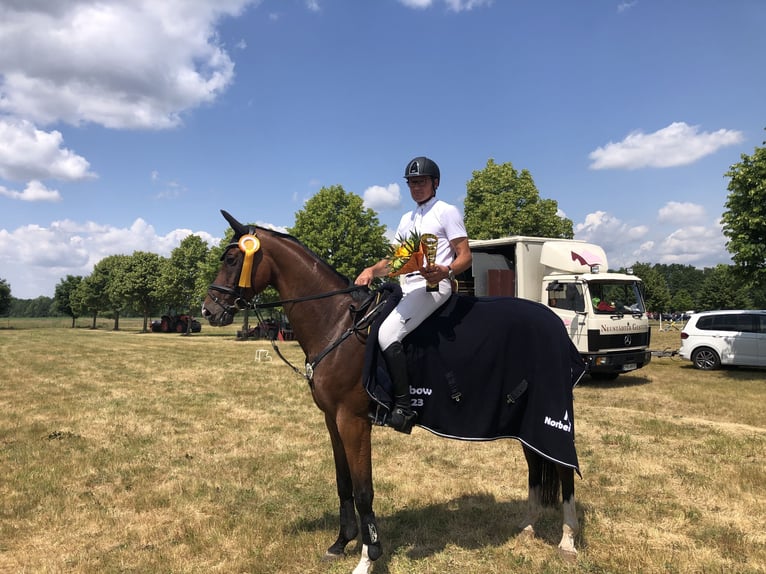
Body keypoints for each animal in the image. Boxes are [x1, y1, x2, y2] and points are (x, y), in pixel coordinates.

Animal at [201, 210, 582, 573]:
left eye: (232, 259)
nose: (209, 309)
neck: (338, 322)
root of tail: (552, 320)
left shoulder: (353, 421)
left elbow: (363, 490)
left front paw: (368, 557)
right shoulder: (332, 419)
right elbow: (343, 483)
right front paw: (340, 543)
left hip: (549, 413)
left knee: (563, 468)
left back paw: (567, 540)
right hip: (523, 416)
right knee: (535, 463)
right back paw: (528, 527)